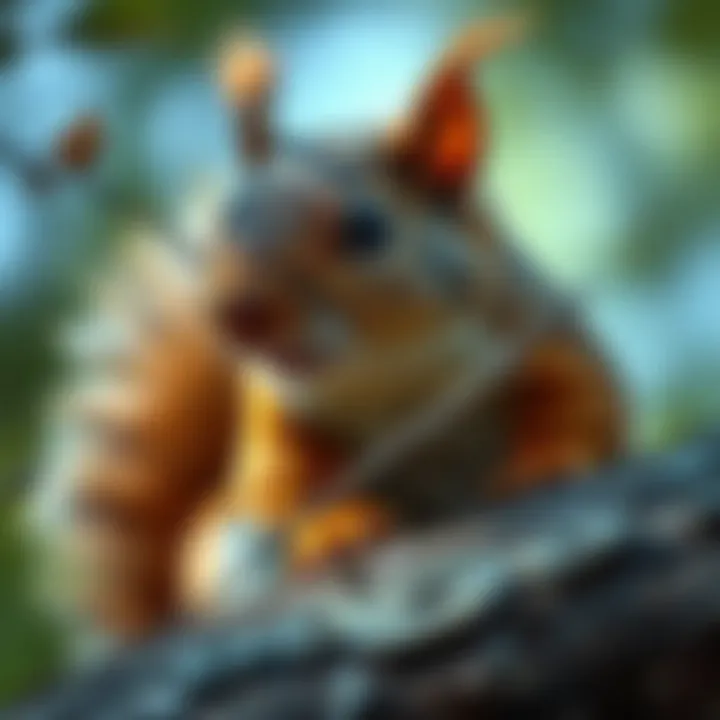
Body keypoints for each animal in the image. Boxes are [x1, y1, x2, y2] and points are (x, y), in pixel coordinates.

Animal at [34, 15, 624, 645]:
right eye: (227, 223)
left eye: (365, 229)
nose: (237, 312)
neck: (392, 371)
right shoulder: (282, 417)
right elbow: (288, 485)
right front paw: (337, 530)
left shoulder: (541, 336)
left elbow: (581, 403)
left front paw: (548, 462)